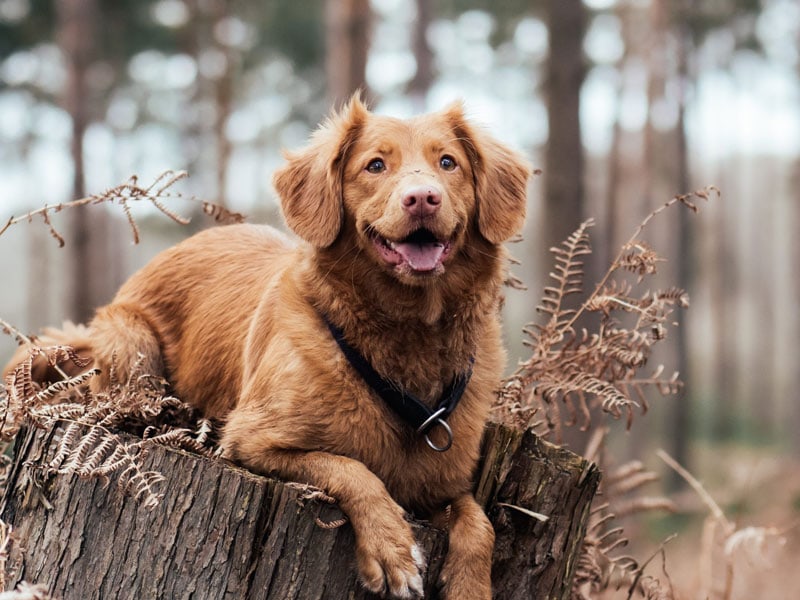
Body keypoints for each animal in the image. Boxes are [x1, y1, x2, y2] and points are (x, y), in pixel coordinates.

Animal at [7, 96, 532, 596]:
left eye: (448, 163)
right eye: (375, 165)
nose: (422, 197)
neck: (408, 334)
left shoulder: (441, 484)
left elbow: (479, 522)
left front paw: (470, 585)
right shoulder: (251, 441)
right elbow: (351, 468)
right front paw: (391, 548)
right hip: (130, 345)